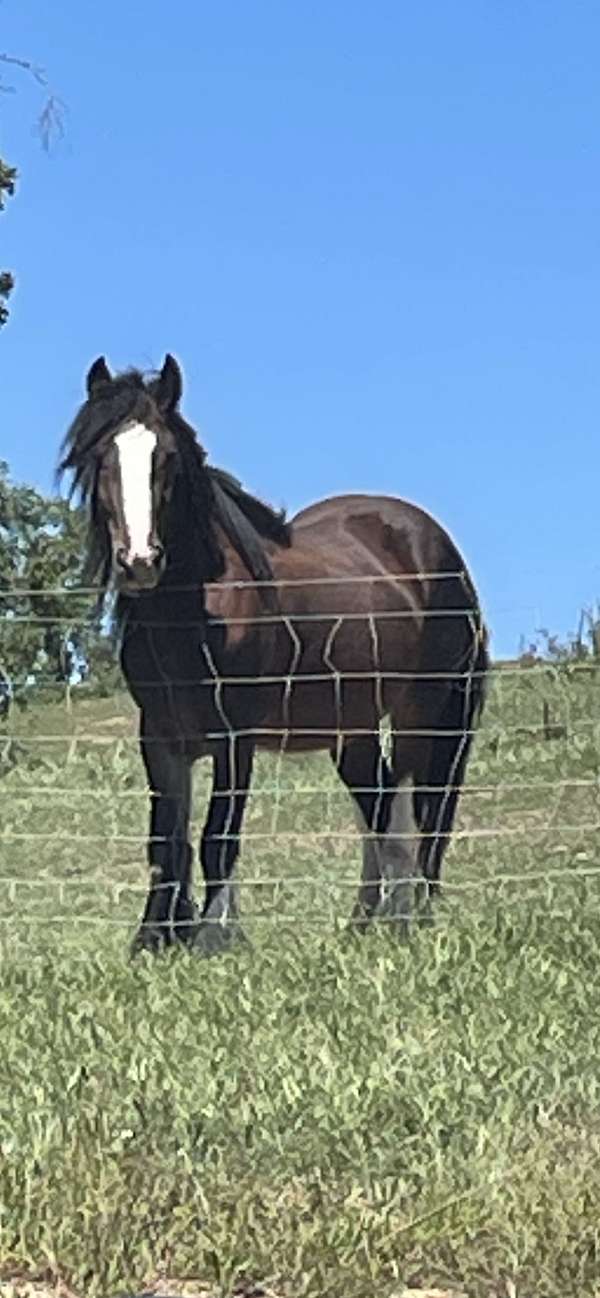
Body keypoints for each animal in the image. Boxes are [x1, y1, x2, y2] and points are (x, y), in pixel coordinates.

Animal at [59, 355, 488, 955]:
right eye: (102, 459)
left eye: (166, 458)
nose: (139, 562)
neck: (192, 615)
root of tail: (437, 546)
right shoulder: (160, 737)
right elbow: (166, 840)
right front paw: (155, 938)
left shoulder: (234, 737)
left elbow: (217, 837)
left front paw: (215, 936)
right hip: (351, 728)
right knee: (378, 806)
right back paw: (364, 922)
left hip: (421, 713)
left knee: (413, 812)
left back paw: (408, 917)